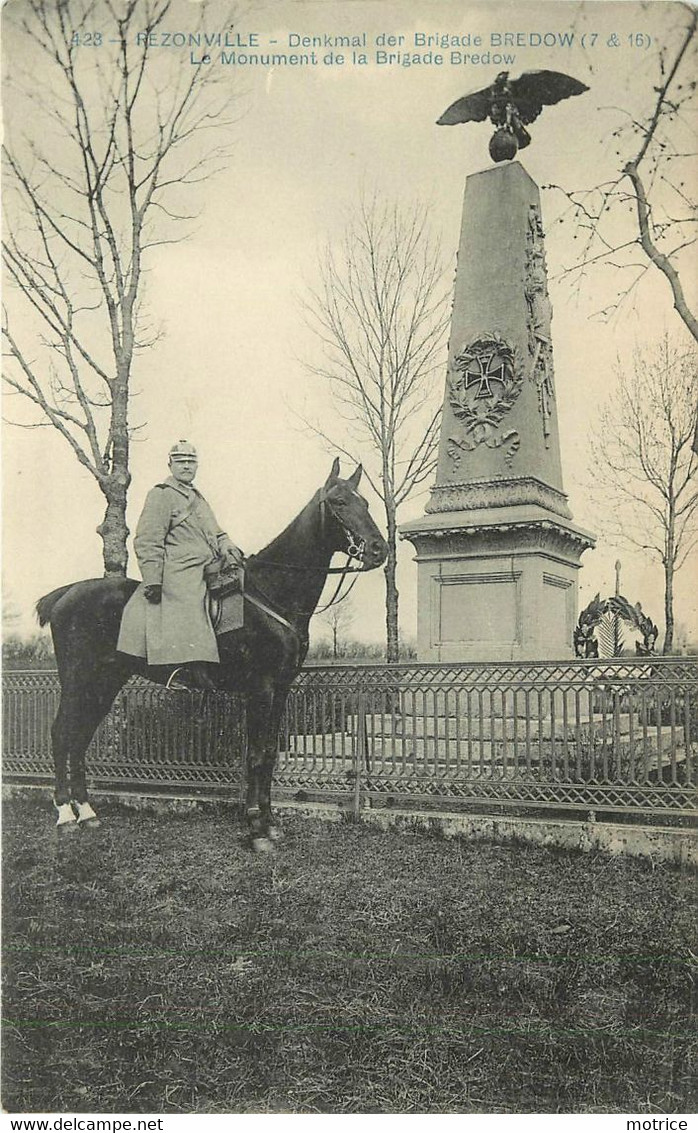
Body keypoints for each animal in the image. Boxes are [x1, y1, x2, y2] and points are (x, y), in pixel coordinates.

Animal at [36, 459, 387, 852]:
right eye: (339, 501)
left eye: (366, 503)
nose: (379, 549)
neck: (270, 594)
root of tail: (66, 594)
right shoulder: (261, 689)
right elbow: (256, 756)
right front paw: (256, 828)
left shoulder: (280, 690)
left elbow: (269, 756)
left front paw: (270, 823)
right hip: (79, 681)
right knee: (62, 734)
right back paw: (65, 814)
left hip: (104, 684)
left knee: (80, 736)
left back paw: (86, 811)